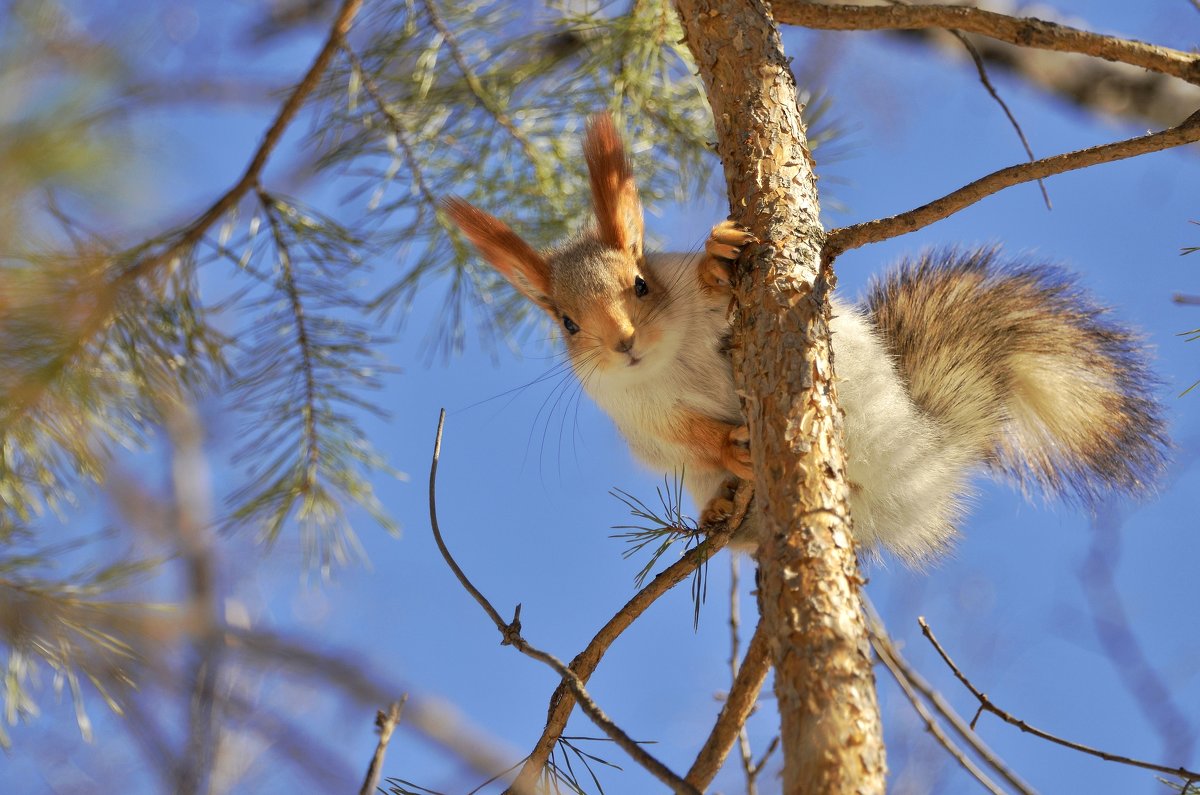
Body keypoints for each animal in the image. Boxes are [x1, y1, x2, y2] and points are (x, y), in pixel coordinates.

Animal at [439, 113, 1161, 566]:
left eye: (641, 283)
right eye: (565, 323)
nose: (622, 343)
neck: (667, 363)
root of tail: (927, 457)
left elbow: (713, 292)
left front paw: (716, 263)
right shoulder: (640, 417)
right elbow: (682, 438)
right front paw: (724, 446)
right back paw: (723, 508)